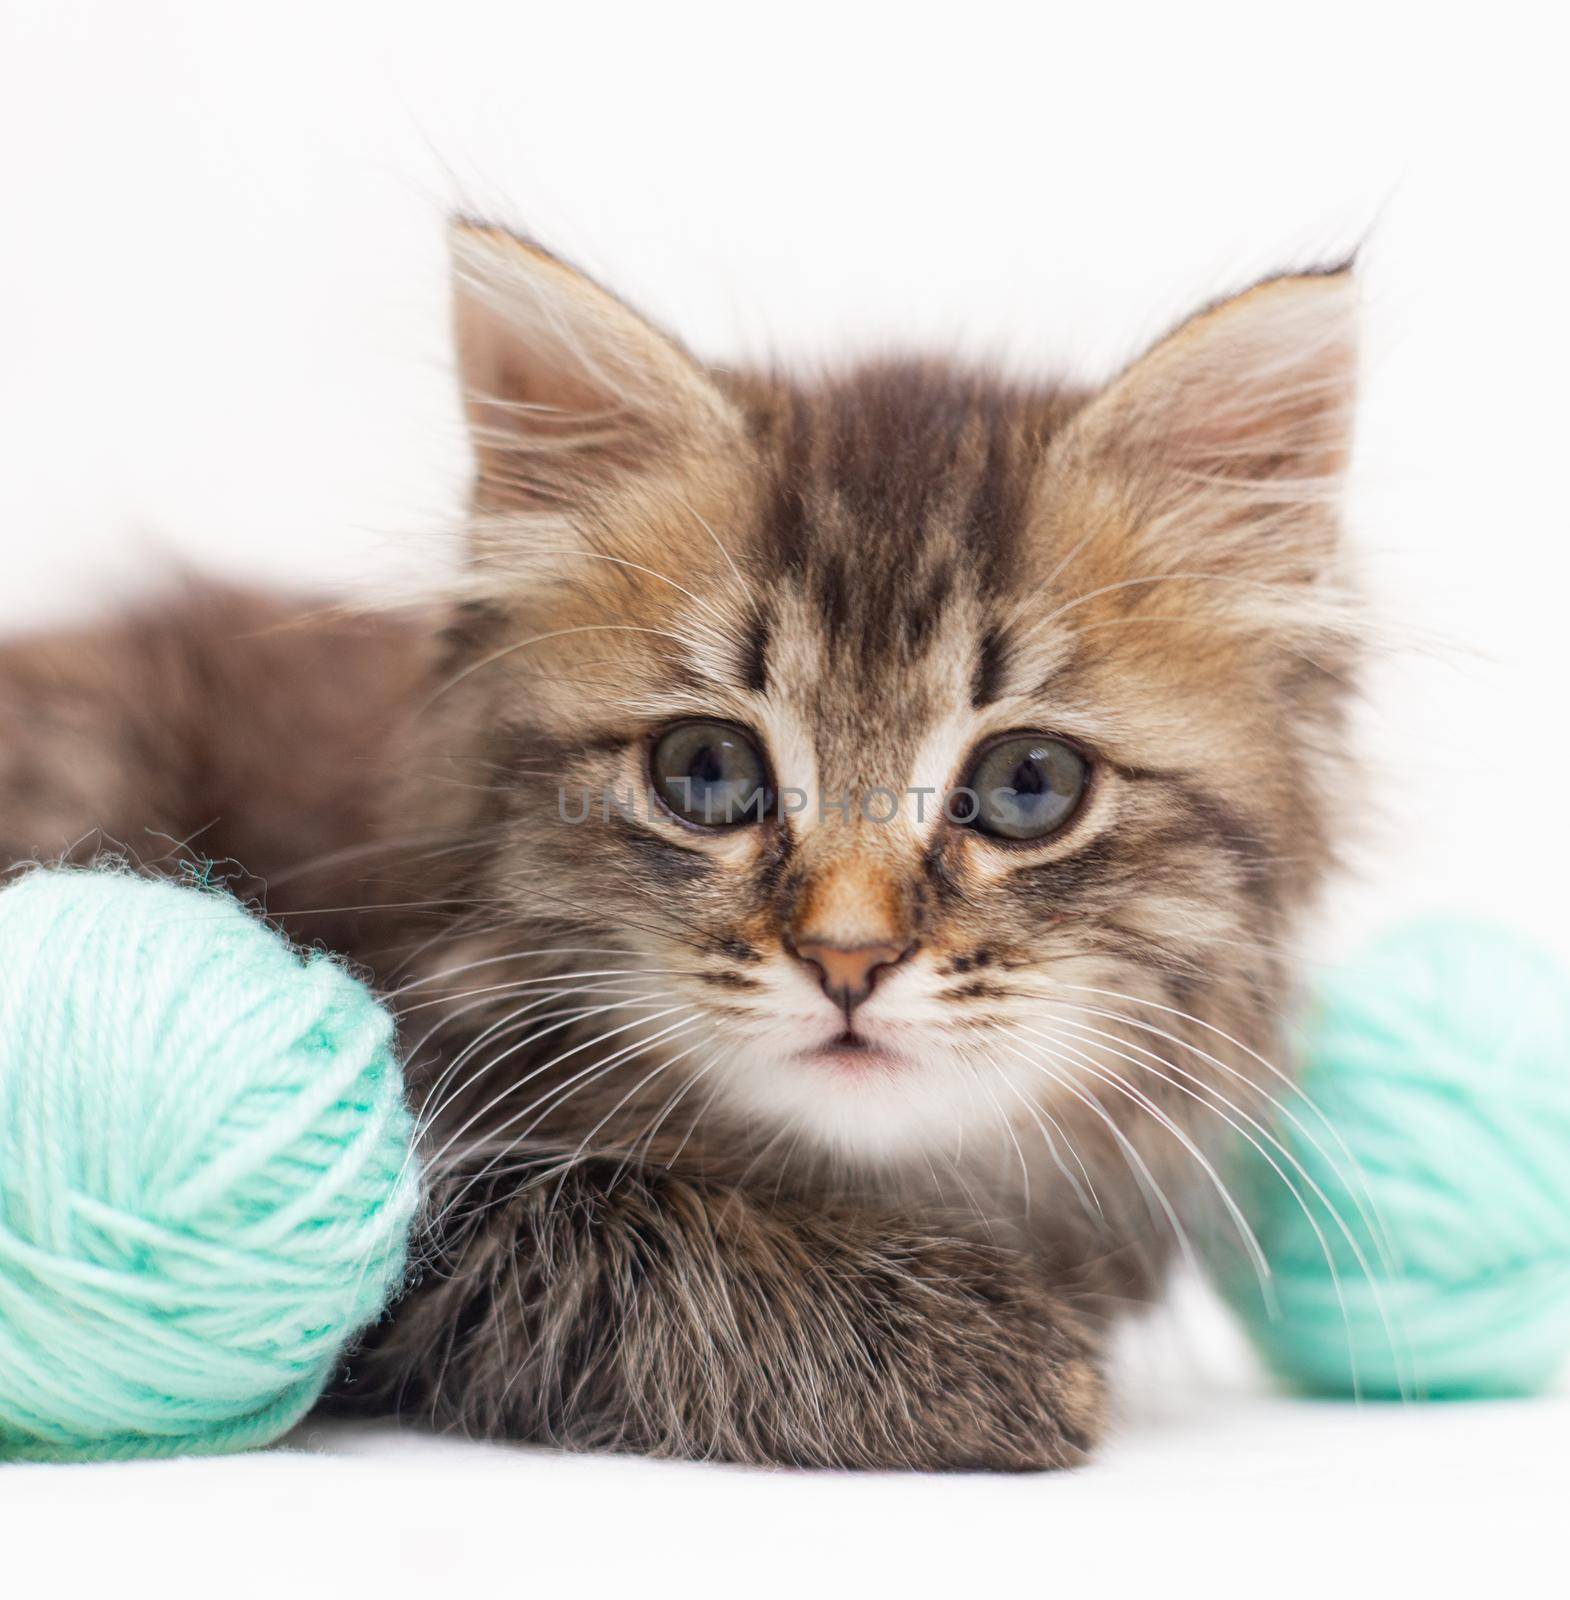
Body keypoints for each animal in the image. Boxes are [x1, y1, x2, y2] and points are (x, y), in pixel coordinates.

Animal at [0, 225, 1357, 1472]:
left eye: (1029, 785)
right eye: (706, 774)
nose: (849, 957)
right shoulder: (432, 1217)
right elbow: (611, 1235)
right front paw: (991, 1354)